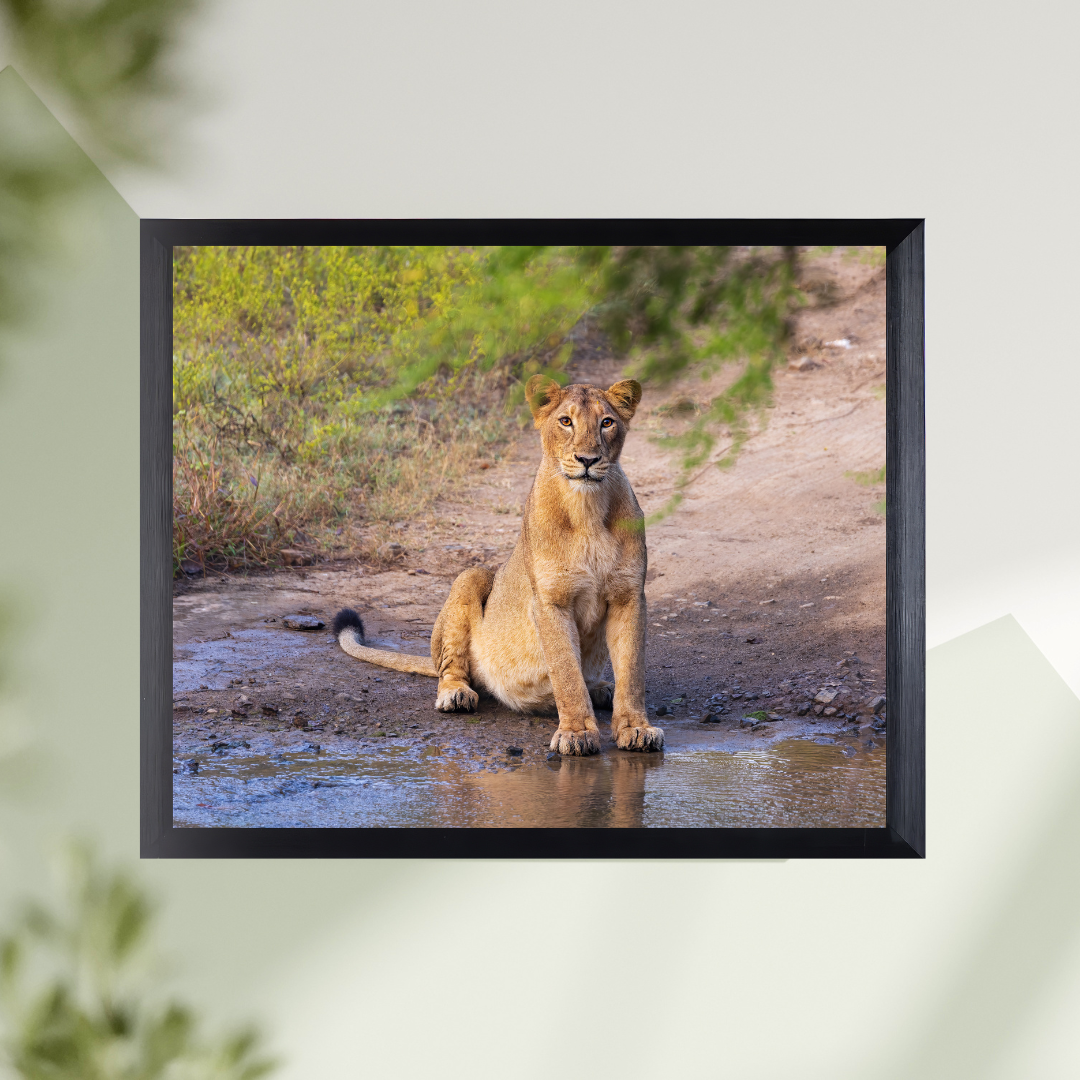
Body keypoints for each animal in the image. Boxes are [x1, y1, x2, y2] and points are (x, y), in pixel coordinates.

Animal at [331, 374, 664, 756]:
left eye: (607, 422)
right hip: (471, 576)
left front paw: (636, 729)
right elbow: (566, 673)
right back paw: (456, 695)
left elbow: (632, 671)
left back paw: (601, 688)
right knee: (451, 667)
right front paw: (577, 733)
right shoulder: (550, 602)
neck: (588, 509)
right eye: (566, 421)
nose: (587, 459)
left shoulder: (629, 596)